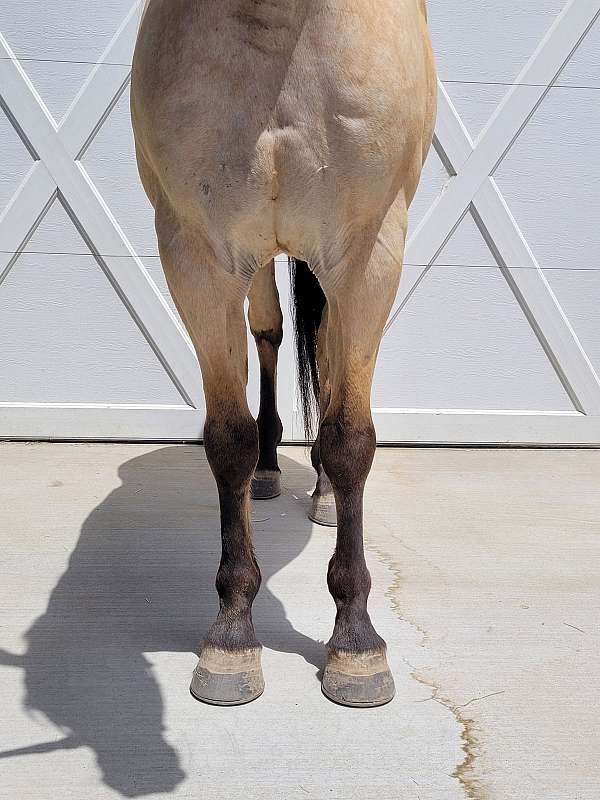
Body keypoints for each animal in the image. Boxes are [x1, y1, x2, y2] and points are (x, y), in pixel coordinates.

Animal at [132, 0, 436, 708]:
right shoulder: (198, 254)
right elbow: (227, 439)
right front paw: (231, 636)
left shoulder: (370, 253)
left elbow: (352, 439)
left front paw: (356, 644)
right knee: (271, 334)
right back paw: (270, 470)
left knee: (324, 350)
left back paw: (322, 493)